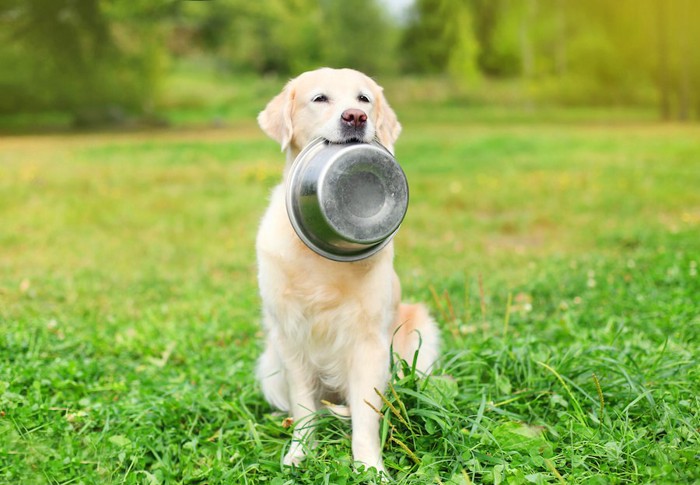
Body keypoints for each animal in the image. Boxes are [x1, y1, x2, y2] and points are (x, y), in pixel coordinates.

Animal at [254, 67, 440, 472]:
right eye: (320, 98)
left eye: (364, 99)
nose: (356, 117)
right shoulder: (291, 336)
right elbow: (304, 407)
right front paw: (299, 452)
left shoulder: (369, 342)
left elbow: (366, 417)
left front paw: (370, 467)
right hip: (270, 363)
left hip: (420, 333)